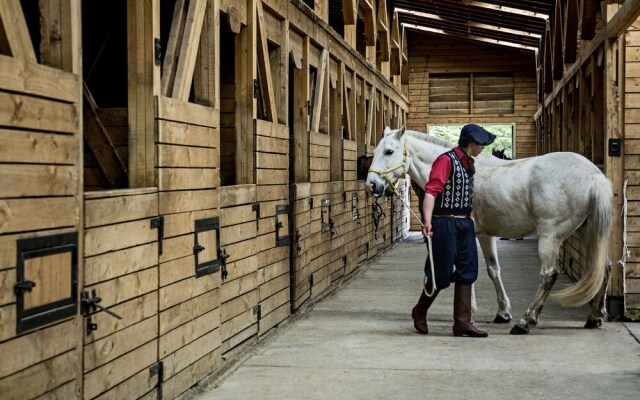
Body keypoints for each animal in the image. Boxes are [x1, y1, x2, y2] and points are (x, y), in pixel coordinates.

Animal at [368, 126, 612, 332]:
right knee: (605, 265)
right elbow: (493, 270)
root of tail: (594, 175)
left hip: (550, 236)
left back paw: (526, 321)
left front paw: (471, 314)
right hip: (585, 231)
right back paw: (595, 317)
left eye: (389, 151)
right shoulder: (487, 236)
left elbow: (466, 271)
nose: (372, 185)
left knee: (549, 275)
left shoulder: (471, 236)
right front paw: (502, 313)